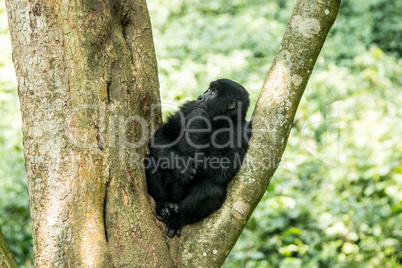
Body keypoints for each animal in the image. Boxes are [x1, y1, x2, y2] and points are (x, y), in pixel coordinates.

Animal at [144, 78, 251, 238]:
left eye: (213, 92)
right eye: (209, 89)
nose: (200, 97)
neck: (221, 120)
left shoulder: (242, 132)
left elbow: (222, 170)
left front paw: (199, 122)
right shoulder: (188, 107)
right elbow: (162, 137)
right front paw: (181, 165)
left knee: (212, 190)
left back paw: (177, 219)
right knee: (151, 160)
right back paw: (163, 204)